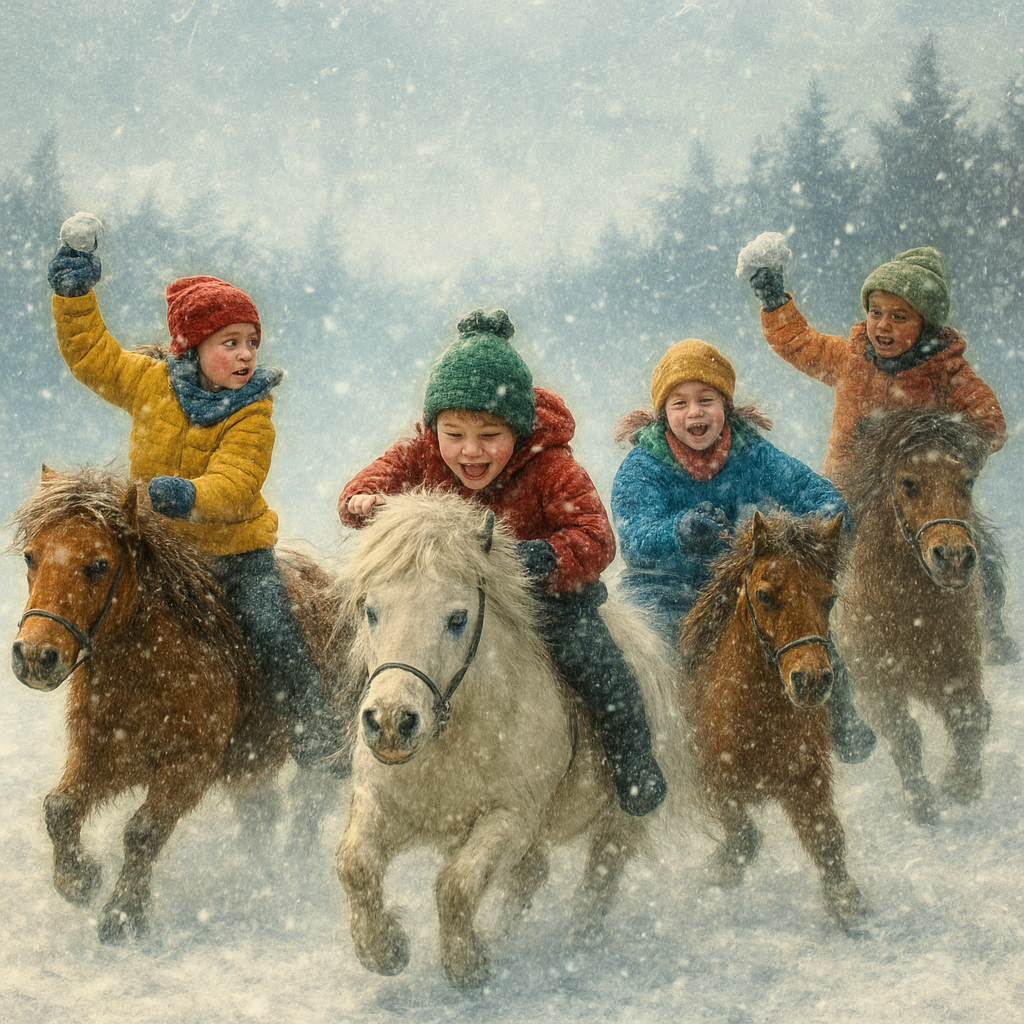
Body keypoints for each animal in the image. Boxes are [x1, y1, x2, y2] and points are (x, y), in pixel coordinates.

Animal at [9, 466, 361, 942]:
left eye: (98, 565)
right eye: (31, 557)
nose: (34, 656)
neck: (149, 667)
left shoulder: (188, 766)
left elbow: (143, 831)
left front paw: (123, 913)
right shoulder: (105, 753)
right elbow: (60, 807)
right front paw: (79, 880)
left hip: (323, 745)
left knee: (308, 801)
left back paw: (292, 869)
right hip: (250, 766)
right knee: (263, 814)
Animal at [331, 490, 689, 988]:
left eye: (457, 617)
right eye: (371, 611)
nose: (389, 721)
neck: (455, 741)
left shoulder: (512, 816)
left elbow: (457, 885)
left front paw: (468, 965)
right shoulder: (379, 799)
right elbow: (354, 863)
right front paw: (384, 950)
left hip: (621, 818)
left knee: (600, 876)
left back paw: (576, 943)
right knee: (531, 875)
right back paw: (507, 936)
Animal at [679, 509, 868, 929]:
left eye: (830, 598)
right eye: (765, 595)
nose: (810, 680)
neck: (757, 721)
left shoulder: (807, 776)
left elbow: (827, 836)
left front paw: (845, 901)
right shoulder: (711, 780)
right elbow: (742, 835)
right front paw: (720, 868)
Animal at [832, 409, 992, 826]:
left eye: (967, 482)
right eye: (908, 483)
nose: (953, 557)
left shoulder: (957, 668)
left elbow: (971, 717)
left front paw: (961, 784)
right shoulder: (876, 683)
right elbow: (904, 735)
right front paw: (923, 805)